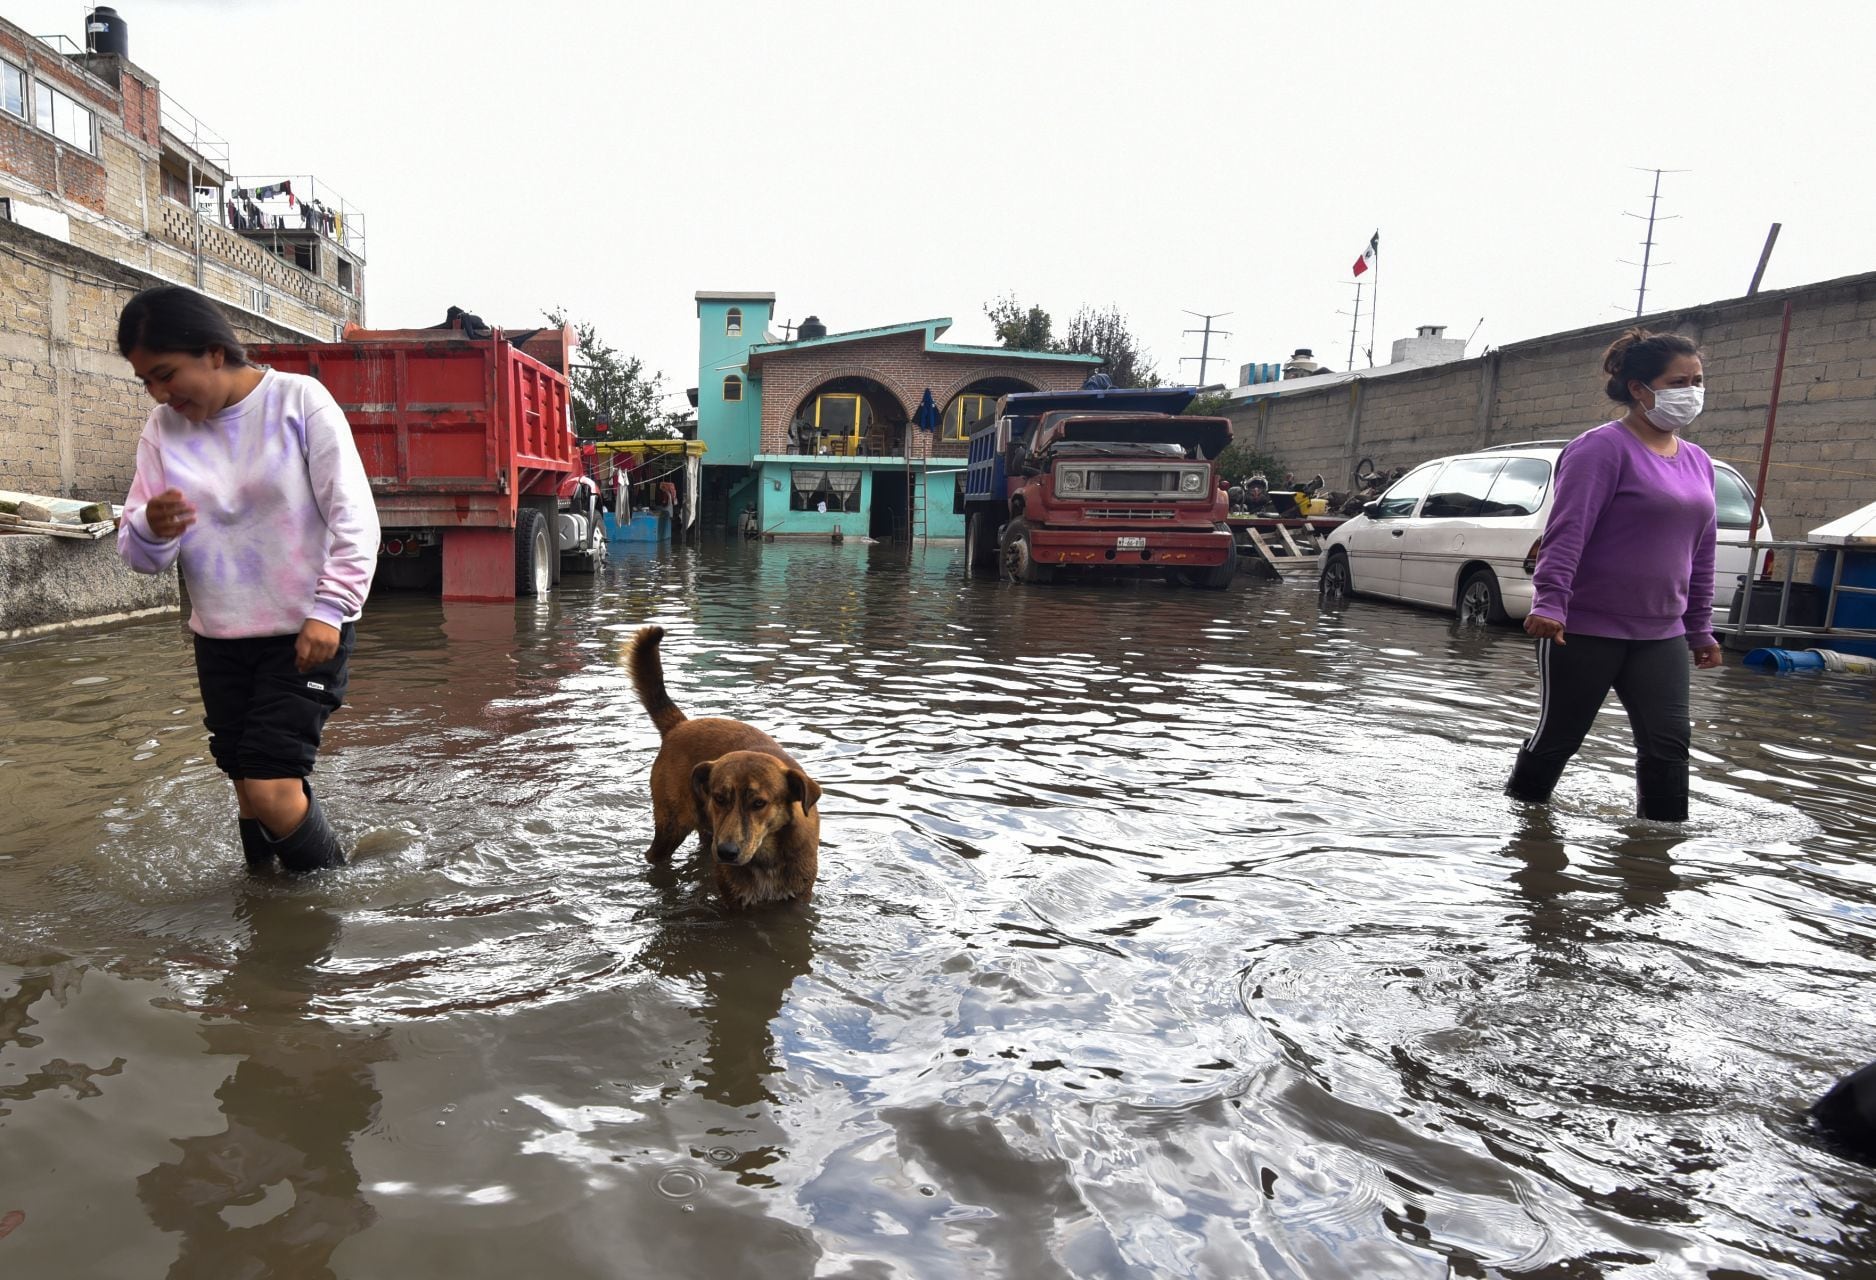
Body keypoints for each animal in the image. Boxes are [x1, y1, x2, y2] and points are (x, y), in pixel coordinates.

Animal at [622, 619, 821, 900]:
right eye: (719, 798)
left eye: (759, 803)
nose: (726, 852)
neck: (766, 856)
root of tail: (680, 725)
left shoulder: (797, 897)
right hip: (671, 827)